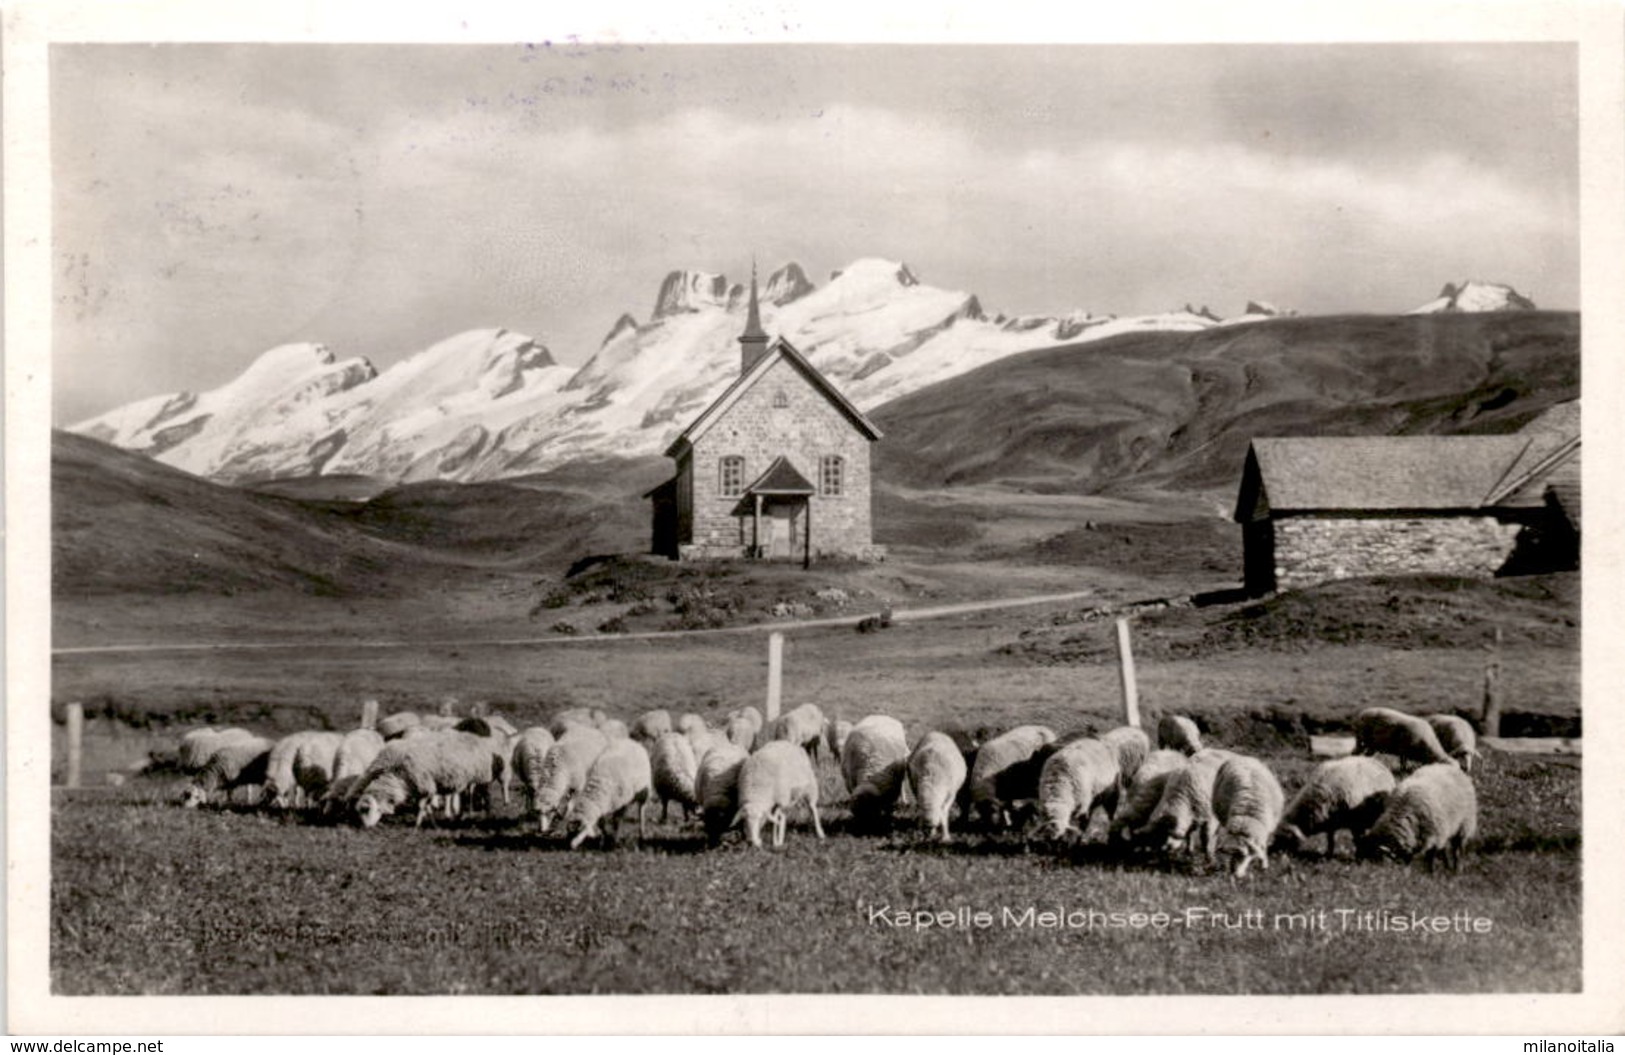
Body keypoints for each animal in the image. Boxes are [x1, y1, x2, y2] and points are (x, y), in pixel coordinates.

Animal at [1267, 757, 1397, 858]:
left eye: (1285, 840)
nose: (1275, 855)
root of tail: (1379, 763)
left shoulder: (1355, 822)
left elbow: (1357, 839)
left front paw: (1358, 854)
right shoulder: (1330, 821)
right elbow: (1330, 839)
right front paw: (1328, 855)